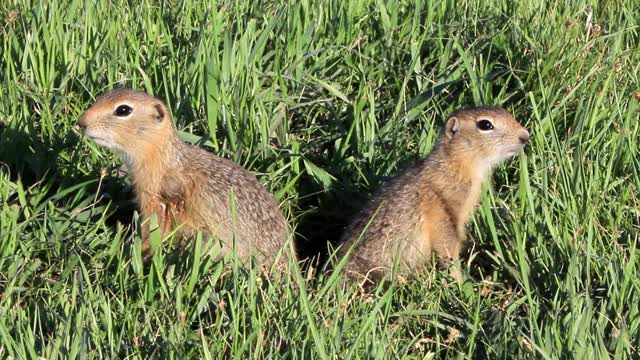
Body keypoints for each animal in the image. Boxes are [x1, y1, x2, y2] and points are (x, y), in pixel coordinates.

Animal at [338, 105, 528, 282]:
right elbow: (448, 246)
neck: (454, 164)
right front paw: (460, 281)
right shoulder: (443, 211)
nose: (525, 136)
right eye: (485, 124)